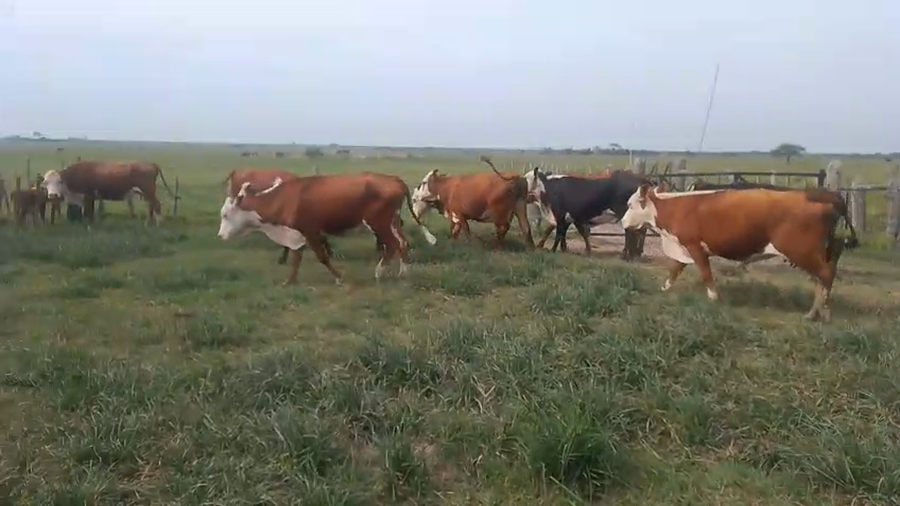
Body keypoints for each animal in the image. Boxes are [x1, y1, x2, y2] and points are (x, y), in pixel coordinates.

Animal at [41, 161, 174, 225]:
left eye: (59, 181)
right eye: (46, 182)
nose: (52, 195)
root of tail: (151, 164)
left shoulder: (88, 196)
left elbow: (88, 212)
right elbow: (88, 212)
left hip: (148, 190)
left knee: (156, 204)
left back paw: (158, 223)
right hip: (146, 193)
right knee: (151, 205)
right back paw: (148, 222)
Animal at [217, 172, 437, 285]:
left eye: (225, 215)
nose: (220, 235)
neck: (285, 198)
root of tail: (394, 179)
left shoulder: (311, 231)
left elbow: (322, 257)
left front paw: (339, 277)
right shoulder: (297, 234)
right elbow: (296, 259)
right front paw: (290, 281)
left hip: (378, 222)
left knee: (391, 244)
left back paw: (379, 272)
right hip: (392, 221)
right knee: (402, 243)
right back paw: (404, 272)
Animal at [619, 184, 860, 322]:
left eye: (630, 205)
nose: (622, 222)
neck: (676, 207)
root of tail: (825, 200)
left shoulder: (696, 247)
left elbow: (705, 274)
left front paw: (714, 298)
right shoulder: (684, 248)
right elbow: (674, 270)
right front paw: (664, 289)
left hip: (801, 251)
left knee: (825, 274)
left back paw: (822, 313)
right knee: (823, 276)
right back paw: (814, 312)